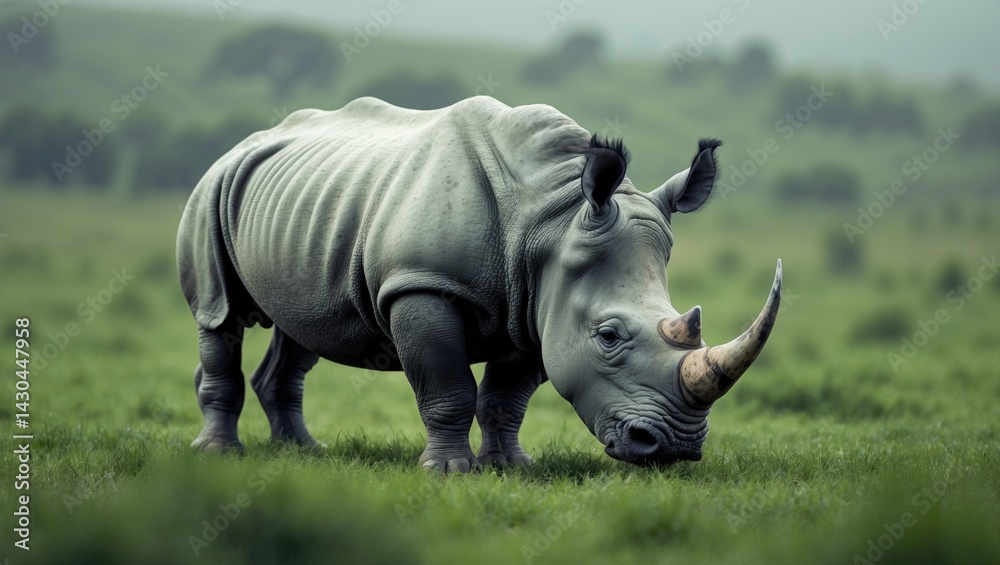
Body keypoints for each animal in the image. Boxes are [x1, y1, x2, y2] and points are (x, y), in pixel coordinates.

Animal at [177, 96, 781, 472]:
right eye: (608, 337)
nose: (674, 447)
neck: (552, 219)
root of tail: (245, 142)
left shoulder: (539, 306)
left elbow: (505, 399)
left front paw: (510, 466)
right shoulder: (422, 286)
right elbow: (447, 387)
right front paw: (448, 471)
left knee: (302, 328)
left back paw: (305, 452)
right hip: (210, 188)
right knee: (219, 317)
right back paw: (218, 454)